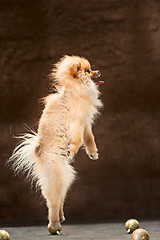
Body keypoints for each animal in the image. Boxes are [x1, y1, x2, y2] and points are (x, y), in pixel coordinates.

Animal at [9, 55, 104, 233]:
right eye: (89, 71)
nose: (99, 71)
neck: (77, 89)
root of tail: (38, 154)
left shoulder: (86, 123)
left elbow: (89, 139)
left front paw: (93, 153)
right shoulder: (76, 122)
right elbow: (77, 139)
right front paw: (72, 150)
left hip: (64, 176)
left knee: (59, 199)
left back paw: (61, 216)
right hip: (57, 175)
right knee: (52, 202)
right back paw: (54, 224)